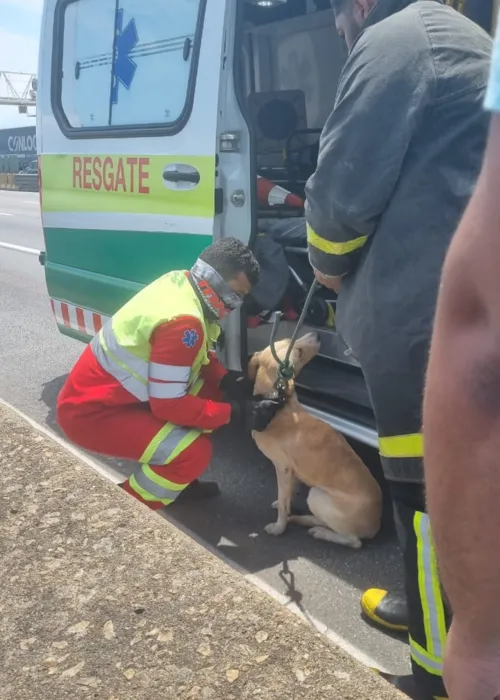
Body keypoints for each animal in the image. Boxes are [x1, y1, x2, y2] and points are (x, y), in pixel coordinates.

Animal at [250, 334, 382, 548]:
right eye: (297, 349)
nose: (318, 334)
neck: (278, 405)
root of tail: (376, 523)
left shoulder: (282, 467)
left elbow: (283, 499)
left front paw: (279, 527)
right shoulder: (291, 471)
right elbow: (287, 495)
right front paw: (285, 508)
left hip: (316, 495)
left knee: (354, 541)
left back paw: (320, 532)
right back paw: (303, 519)